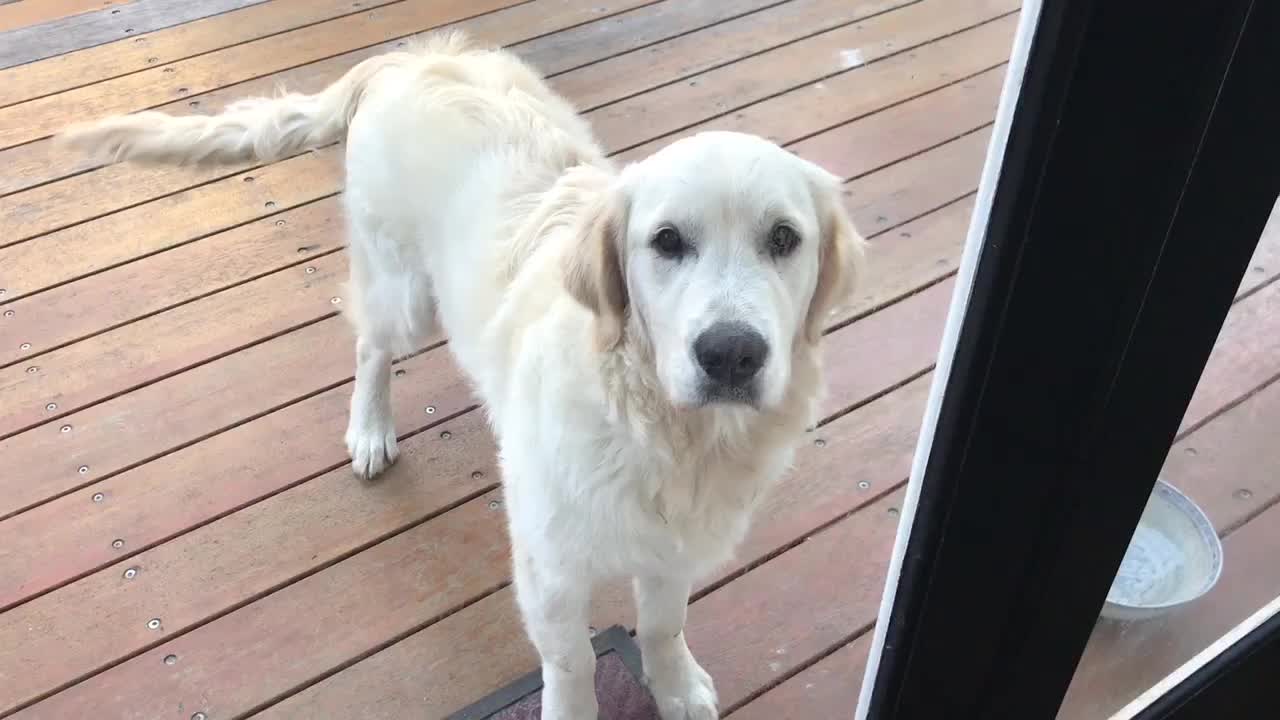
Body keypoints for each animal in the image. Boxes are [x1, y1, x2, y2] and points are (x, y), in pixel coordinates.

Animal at [57, 32, 860, 717]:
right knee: (369, 346)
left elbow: (663, 625)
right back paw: (370, 430)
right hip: (405, 295)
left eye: (783, 239)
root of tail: (406, 58)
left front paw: (676, 686)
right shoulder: (549, 566)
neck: (667, 432)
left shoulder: (672, 547)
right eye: (666, 241)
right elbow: (572, 667)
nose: (732, 354)